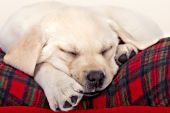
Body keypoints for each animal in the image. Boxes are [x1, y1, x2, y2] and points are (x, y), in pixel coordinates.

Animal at [0, 1, 163, 111]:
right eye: (69, 52)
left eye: (106, 49)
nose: (96, 77)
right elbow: (40, 64)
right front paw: (62, 88)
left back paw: (124, 50)